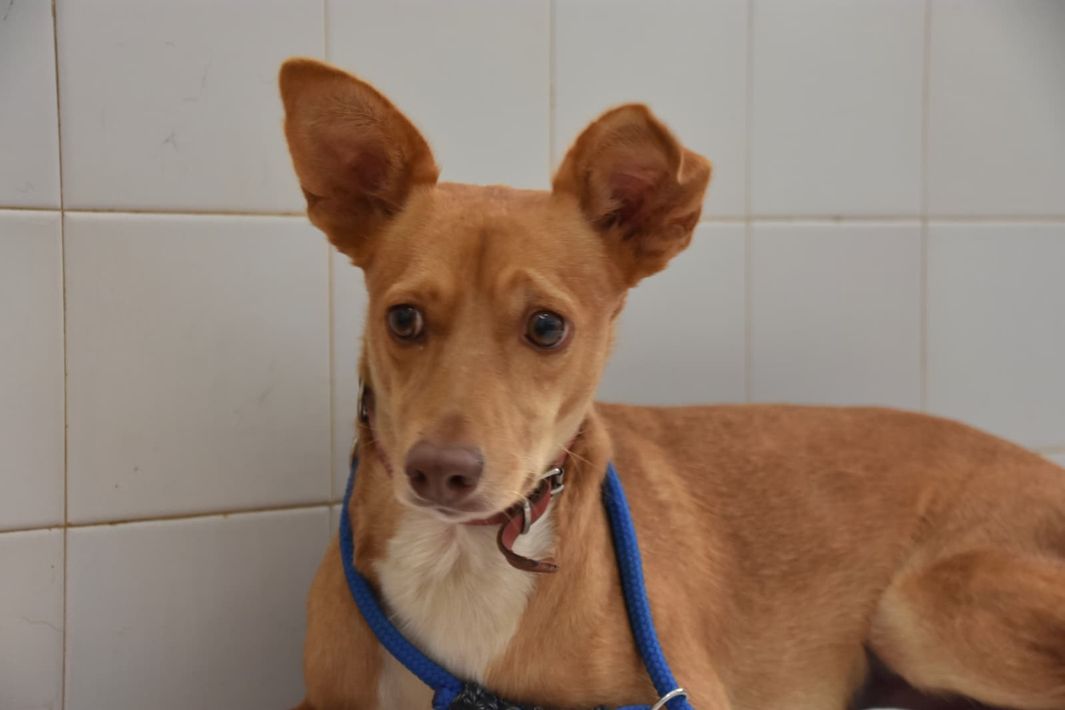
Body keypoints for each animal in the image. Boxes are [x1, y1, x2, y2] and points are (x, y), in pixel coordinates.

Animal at [278, 58, 1065, 710]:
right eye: (403, 318)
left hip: (920, 608)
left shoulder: (687, 692)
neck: (458, 559)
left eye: (546, 327)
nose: (440, 472)